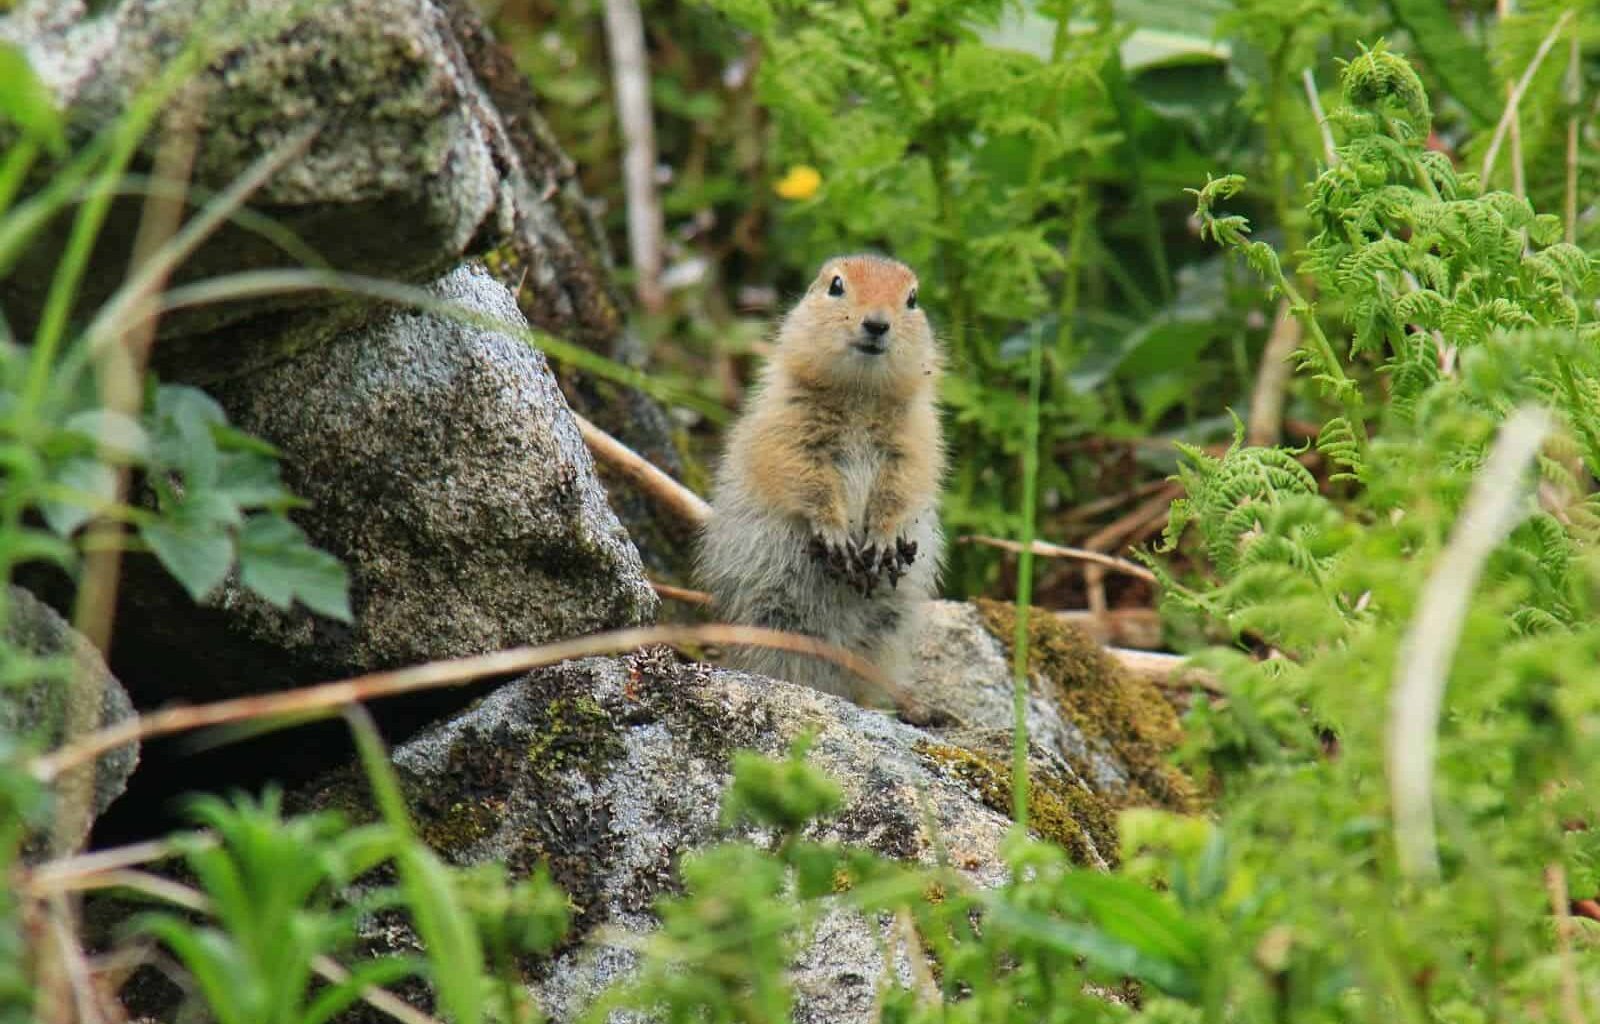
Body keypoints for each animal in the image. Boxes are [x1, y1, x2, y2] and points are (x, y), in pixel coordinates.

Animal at [697, 254, 945, 702]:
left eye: (913, 298)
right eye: (836, 286)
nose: (877, 323)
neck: (860, 395)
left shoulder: (918, 441)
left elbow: (904, 487)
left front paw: (883, 539)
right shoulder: (788, 429)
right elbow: (804, 478)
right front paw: (835, 533)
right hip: (772, 617)